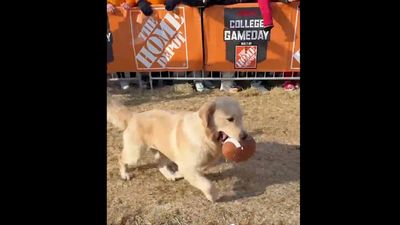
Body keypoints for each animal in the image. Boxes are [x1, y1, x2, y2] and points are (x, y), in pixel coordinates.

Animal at [108, 95, 248, 202]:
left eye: (242, 117)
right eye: (230, 119)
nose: (245, 136)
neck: (205, 135)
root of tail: (134, 116)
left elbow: (190, 172)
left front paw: (178, 174)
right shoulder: (189, 167)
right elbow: (207, 185)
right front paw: (212, 196)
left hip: (162, 151)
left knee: (160, 165)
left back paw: (170, 175)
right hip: (135, 154)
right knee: (120, 158)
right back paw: (124, 174)